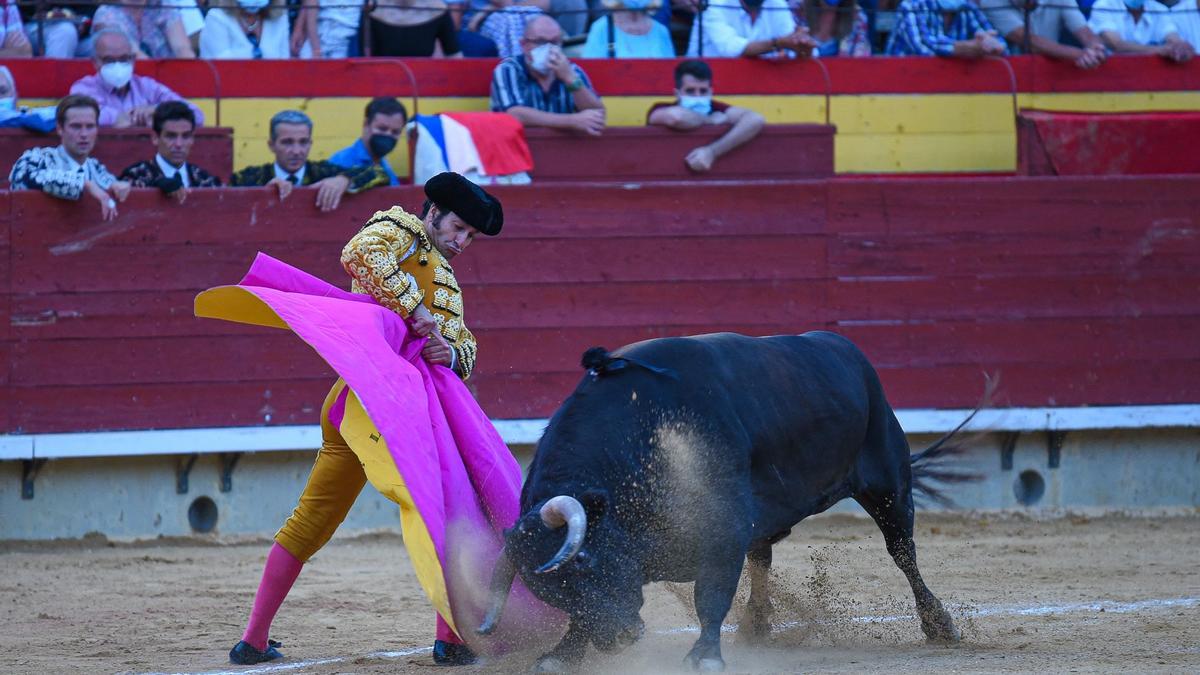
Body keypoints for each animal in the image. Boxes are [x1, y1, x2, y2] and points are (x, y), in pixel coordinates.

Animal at [477, 331, 964, 667]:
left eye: (583, 560)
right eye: (547, 592)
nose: (618, 641)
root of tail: (847, 350)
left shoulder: (720, 529)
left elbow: (711, 594)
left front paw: (705, 654)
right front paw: (562, 652)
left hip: (888, 483)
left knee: (902, 552)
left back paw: (940, 625)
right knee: (763, 557)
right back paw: (757, 625)